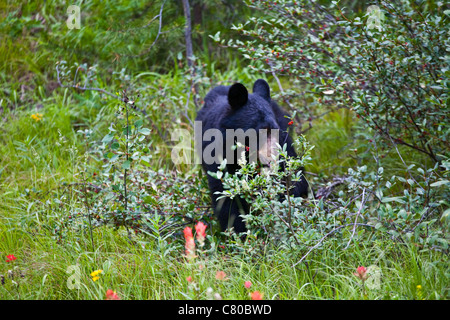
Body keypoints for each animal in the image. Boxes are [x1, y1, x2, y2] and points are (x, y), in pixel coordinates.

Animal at [195, 79, 308, 234]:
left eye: (275, 130)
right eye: (258, 132)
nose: (272, 160)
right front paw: (237, 232)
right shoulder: (217, 157)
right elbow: (226, 197)